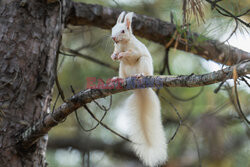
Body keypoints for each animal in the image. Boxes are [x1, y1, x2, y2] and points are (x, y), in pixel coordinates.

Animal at [110, 11, 167, 166]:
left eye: (123, 31)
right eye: (112, 28)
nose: (113, 38)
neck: (123, 44)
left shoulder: (135, 49)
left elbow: (132, 54)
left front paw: (122, 54)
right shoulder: (116, 48)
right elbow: (115, 53)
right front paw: (114, 55)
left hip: (144, 63)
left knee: (142, 67)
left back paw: (140, 75)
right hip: (122, 68)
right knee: (123, 72)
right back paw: (118, 79)